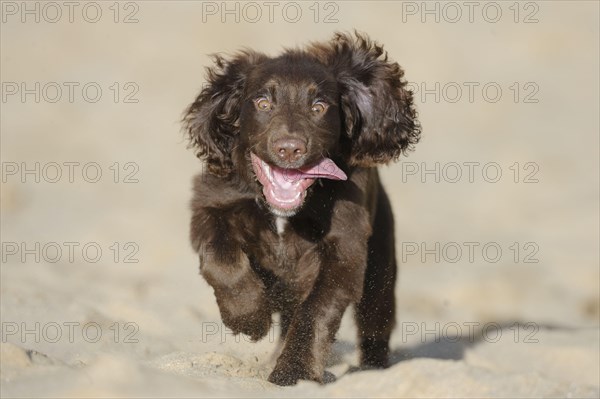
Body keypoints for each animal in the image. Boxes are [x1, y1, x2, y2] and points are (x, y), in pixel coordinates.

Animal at [183, 32, 422, 388]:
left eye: (318, 107)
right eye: (263, 103)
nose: (289, 148)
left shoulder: (345, 247)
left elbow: (316, 311)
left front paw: (292, 373)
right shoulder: (212, 204)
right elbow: (221, 260)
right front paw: (249, 318)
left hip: (380, 263)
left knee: (375, 323)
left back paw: (372, 372)